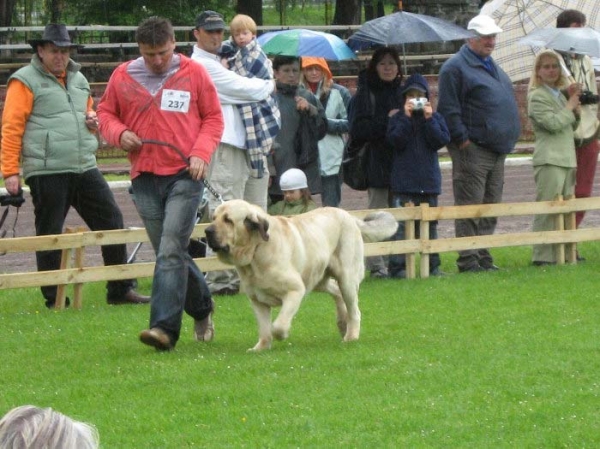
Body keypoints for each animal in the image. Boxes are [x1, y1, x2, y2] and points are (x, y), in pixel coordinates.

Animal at [206, 200, 398, 350]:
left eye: (228, 220)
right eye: (214, 218)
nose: (207, 231)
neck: (256, 252)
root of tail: (350, 217)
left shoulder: (295, 290)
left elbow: (277, 326)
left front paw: (282, 335)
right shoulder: (257, 301)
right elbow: (264, 329)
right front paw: (261, 347)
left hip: (347, 279)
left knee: (354, 310)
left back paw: (351, 335)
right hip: (317, 277)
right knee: (336, 292)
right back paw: (342, 323)